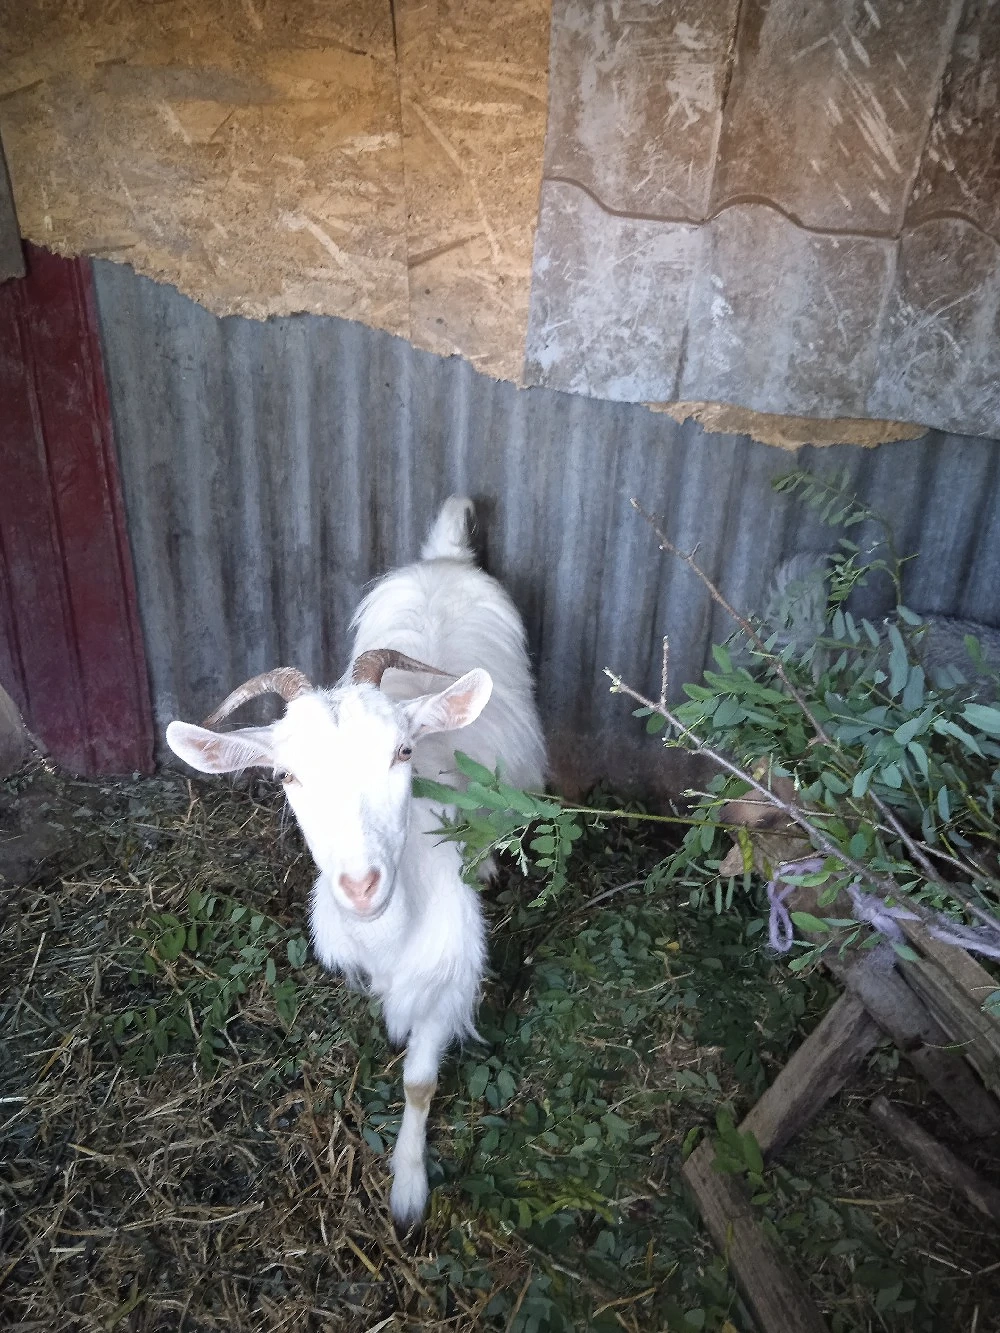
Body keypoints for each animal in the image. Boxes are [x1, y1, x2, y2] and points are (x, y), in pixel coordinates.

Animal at [165, 496, 547, 1225]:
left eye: (402, 752)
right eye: (286, 774)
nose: (361, 885)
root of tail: (447, 558)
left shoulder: (446, 978)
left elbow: (420, 1082)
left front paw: (408, 1190)